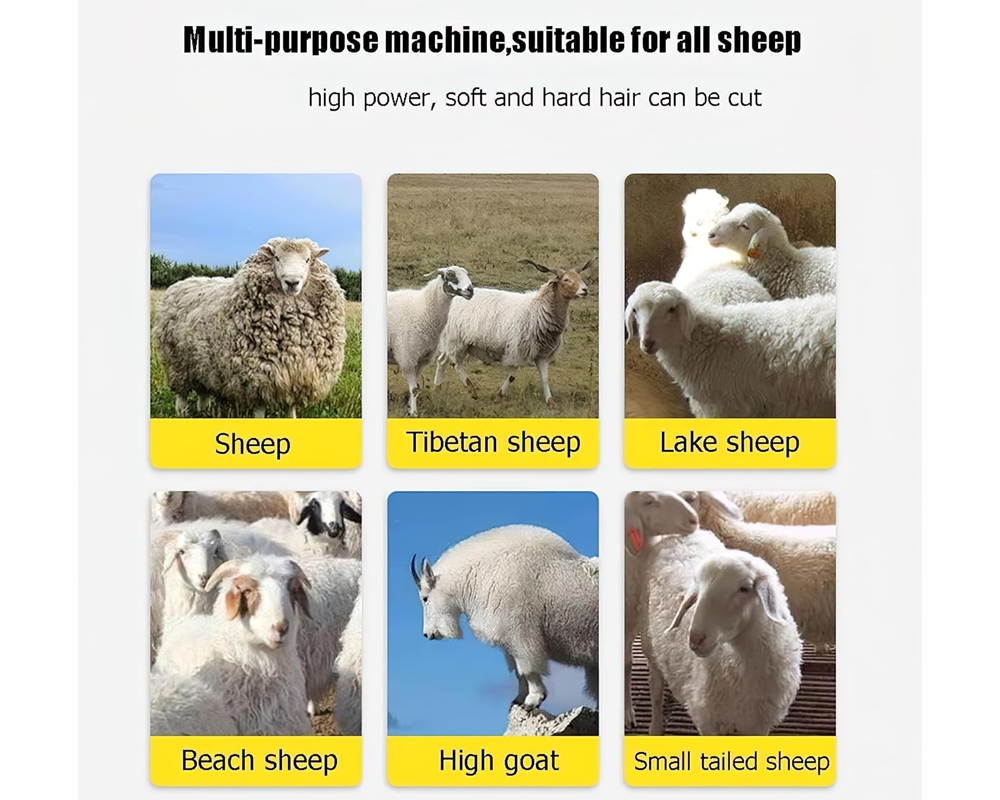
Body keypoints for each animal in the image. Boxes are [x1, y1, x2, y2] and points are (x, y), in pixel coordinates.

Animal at [152, 237, 347, 418]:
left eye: (307, 259)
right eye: (276, 257)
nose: (292, 282)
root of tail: (185, 281)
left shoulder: (296, 375)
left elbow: (290, 408)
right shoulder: (257, 378)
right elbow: (260, 411)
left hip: (202, 363)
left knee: (203, 391)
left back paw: (205, 410)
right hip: (176, 361)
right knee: (181, 393)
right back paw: (182, 412)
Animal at [388, 266, 474, 416]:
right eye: (450, 274)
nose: (470, 290)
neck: (424, 309)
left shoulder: (422, 359)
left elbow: (416, 387)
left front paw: (410, 408)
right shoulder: (407, 358)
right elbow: (414, 389)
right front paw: (414, 413)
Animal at [411, 524, 598, 711]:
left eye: (425, 598)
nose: (428, 634)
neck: (479, 573)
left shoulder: (521, 633)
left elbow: (527, 669)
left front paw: (533, 700)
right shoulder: (509, 640)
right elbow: (518, 672)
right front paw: (519, 699)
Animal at [434, 257, 596, 406]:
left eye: (580, 277)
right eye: (567, 279)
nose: (585, 290)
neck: (537, 309)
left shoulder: (542, 353)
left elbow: (545, 378)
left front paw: (550, 401)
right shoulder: (518, 349)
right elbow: (512, 376)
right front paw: (499, 396)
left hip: (451, 340)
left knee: (442, 360)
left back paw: (437, 388)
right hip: (457, 339)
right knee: (456, 364)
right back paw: (471, 389)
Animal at [646, 548, 802, 735]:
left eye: (745, 588)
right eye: (698, 588)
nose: (695, 639)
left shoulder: (759, 723)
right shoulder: (706, 719)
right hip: (650, 645)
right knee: (655, 689)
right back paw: (655, 727)